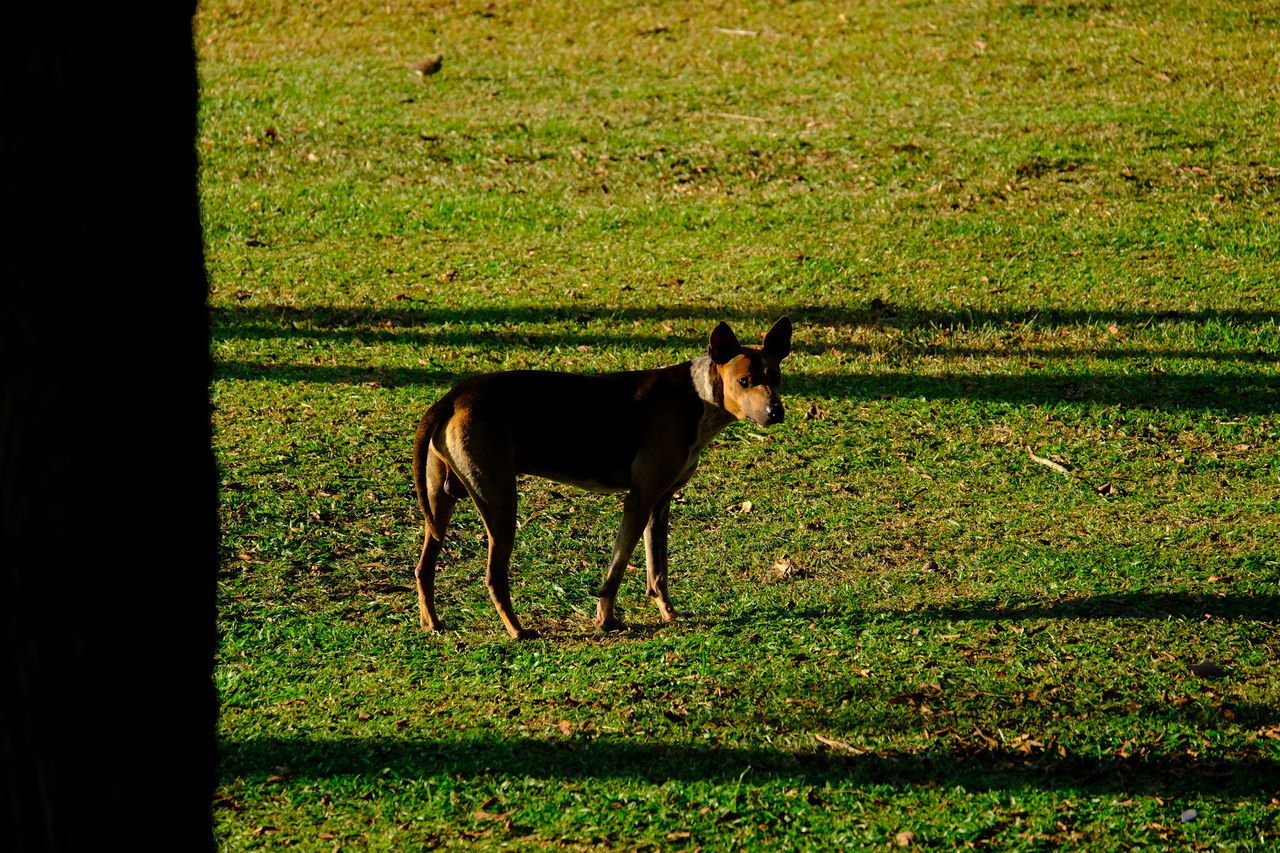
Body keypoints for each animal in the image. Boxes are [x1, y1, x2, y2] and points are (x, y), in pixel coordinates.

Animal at [412, 315, 788, 635]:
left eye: (776, 377)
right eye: (744, 381)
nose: (775, 412)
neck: (697, 395)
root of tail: (452, 397)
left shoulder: (660, 504)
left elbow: (658, 570)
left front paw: (668, 613)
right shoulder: (639, 502)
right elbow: (616, 570)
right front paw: (605, 620)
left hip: (440, 501)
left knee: (424, 567)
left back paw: (432, 622)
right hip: (500, 503)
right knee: (494, 576)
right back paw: (517, 630)